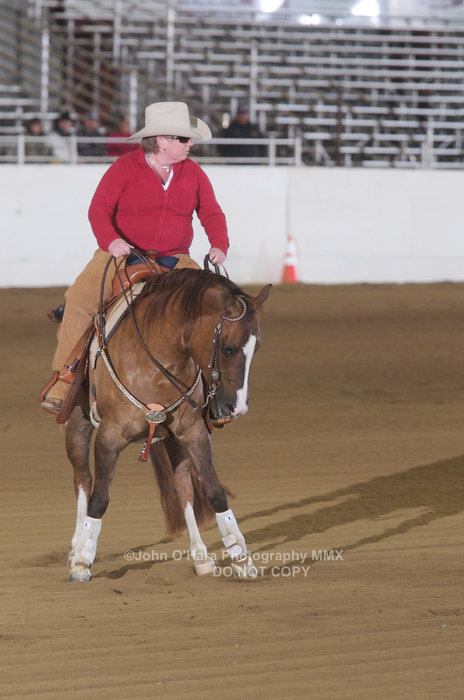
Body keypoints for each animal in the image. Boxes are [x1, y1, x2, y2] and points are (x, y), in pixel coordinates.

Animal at [65, 266, 271, 582]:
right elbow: (99, 498)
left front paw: (241, 558)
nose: (236, 407)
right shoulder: (109, 437)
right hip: (77, 425)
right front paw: (81, 563)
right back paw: (76, 547)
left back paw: (201, 557)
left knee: (183, 488)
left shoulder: (194, 433)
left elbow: (214, 492)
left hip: (175, 440)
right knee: (83, 479)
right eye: (227, 348)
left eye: (256, 347)